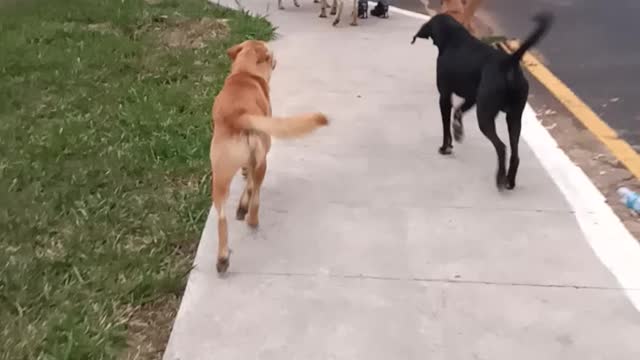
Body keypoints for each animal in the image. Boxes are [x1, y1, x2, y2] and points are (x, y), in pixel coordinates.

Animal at [211, 39, 330, 274]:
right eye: (271, 54)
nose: (276, 60)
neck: (246, 73)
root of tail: (240, 116)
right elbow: (249, 187)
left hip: (219, 176)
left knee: (221, 219)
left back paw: (222, 258)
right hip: (262, 161)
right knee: (255, 195)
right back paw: (251, 219)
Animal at [412, 12, 552, 190]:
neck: (453, 36)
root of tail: (509, 62)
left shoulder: (444, 96)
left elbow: (445, 126)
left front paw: (445, 147)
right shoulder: (472, 98)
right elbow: (458, 112)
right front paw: (458, 132)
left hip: (485, 116)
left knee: (501, 147)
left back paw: (500, 178)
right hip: (514, 118)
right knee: (515, 154)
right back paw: (510, 181)